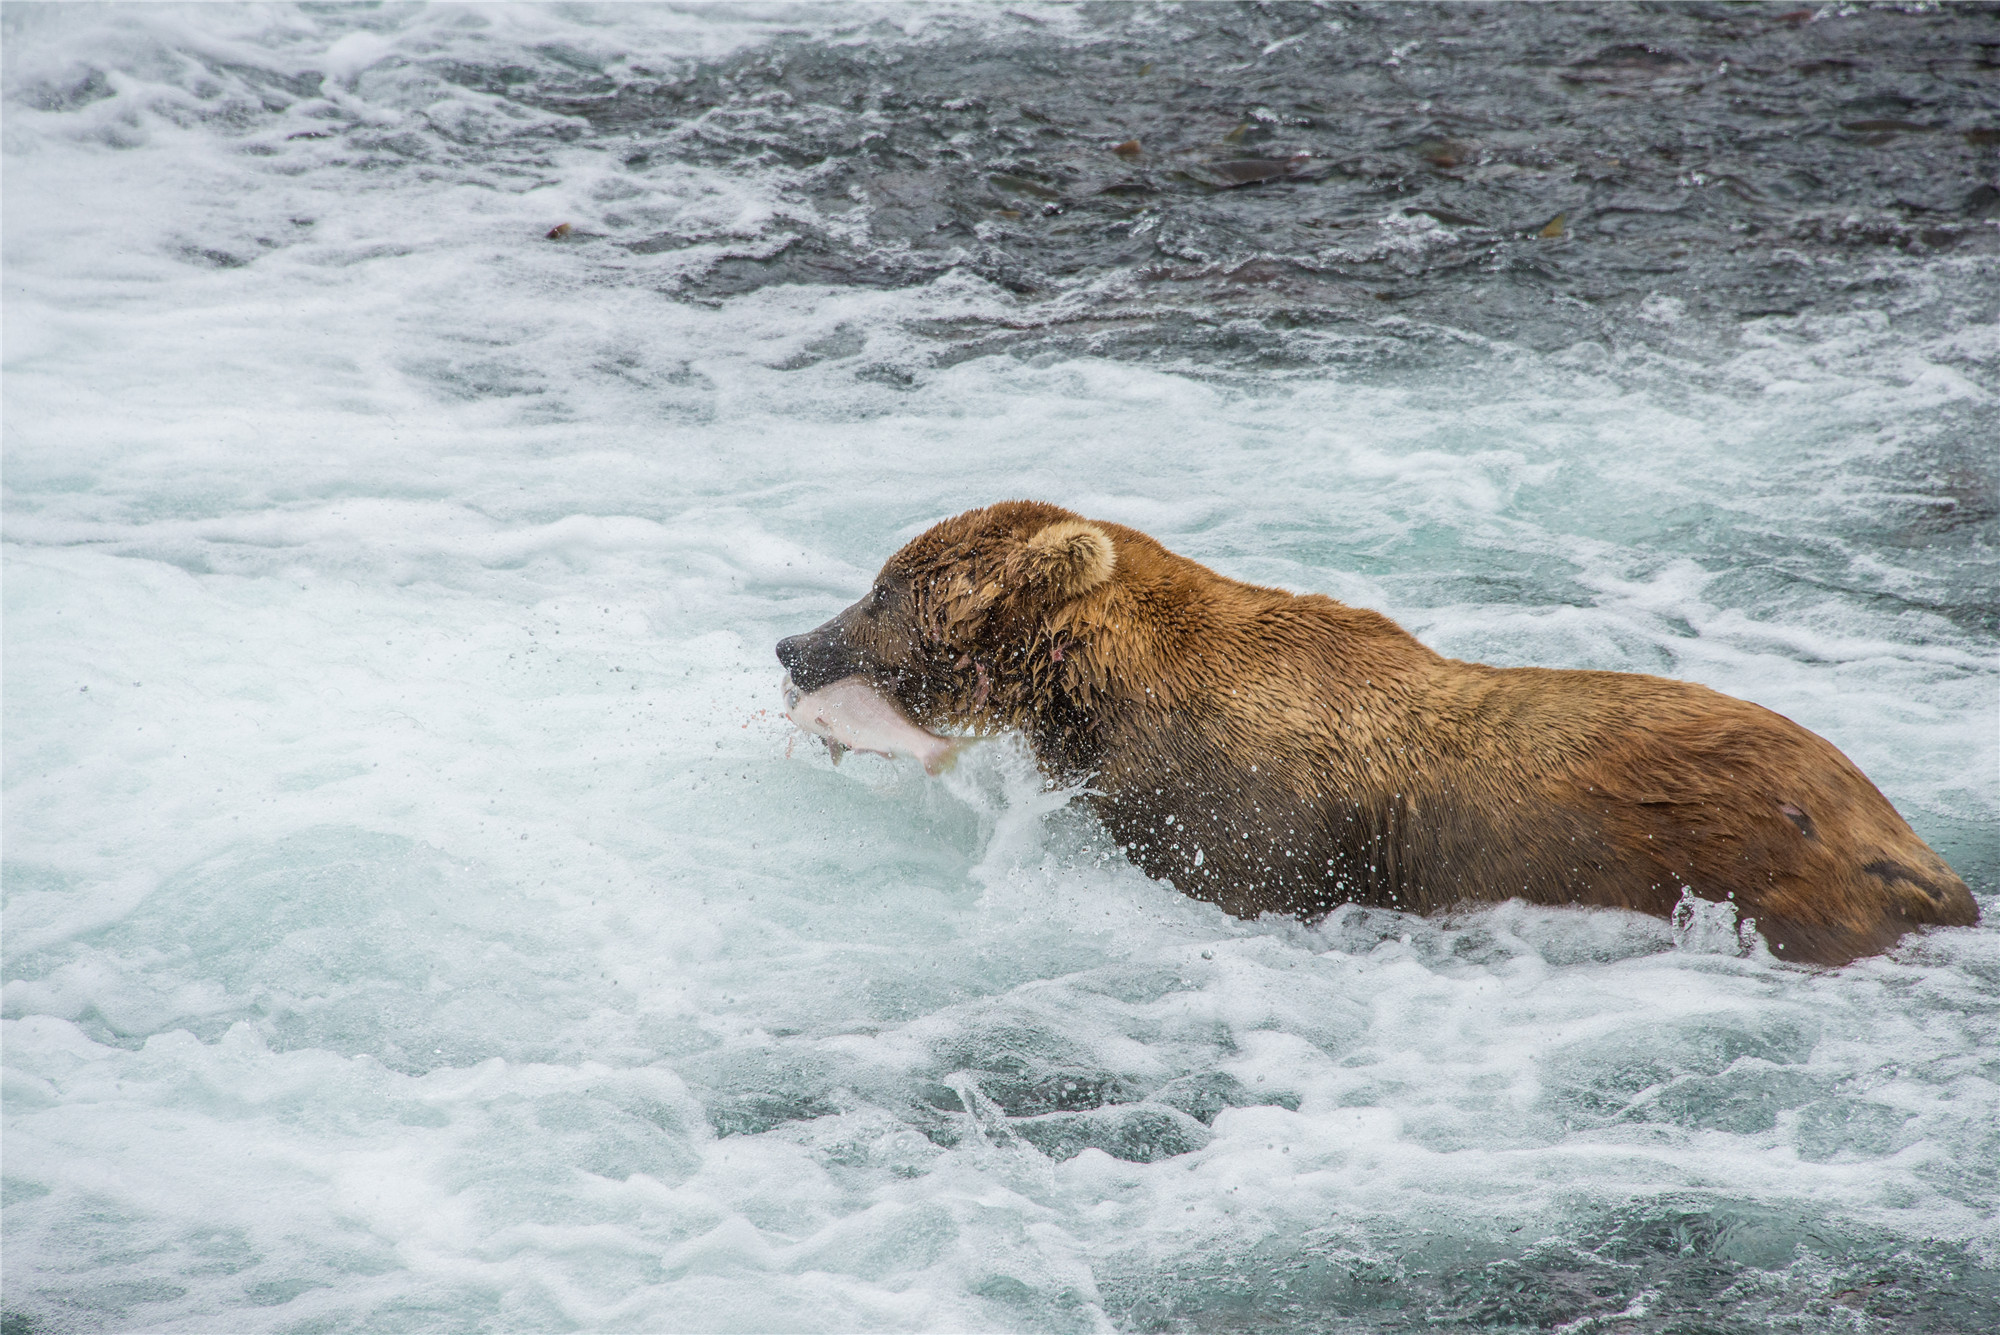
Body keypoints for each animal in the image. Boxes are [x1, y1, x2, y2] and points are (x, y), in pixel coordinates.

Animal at [772, 499, 1976, 959]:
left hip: (1764, 861)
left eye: (882, 587)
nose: (790, 643)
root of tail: (1913, 845)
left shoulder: (1255, 824)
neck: (1109, 702)